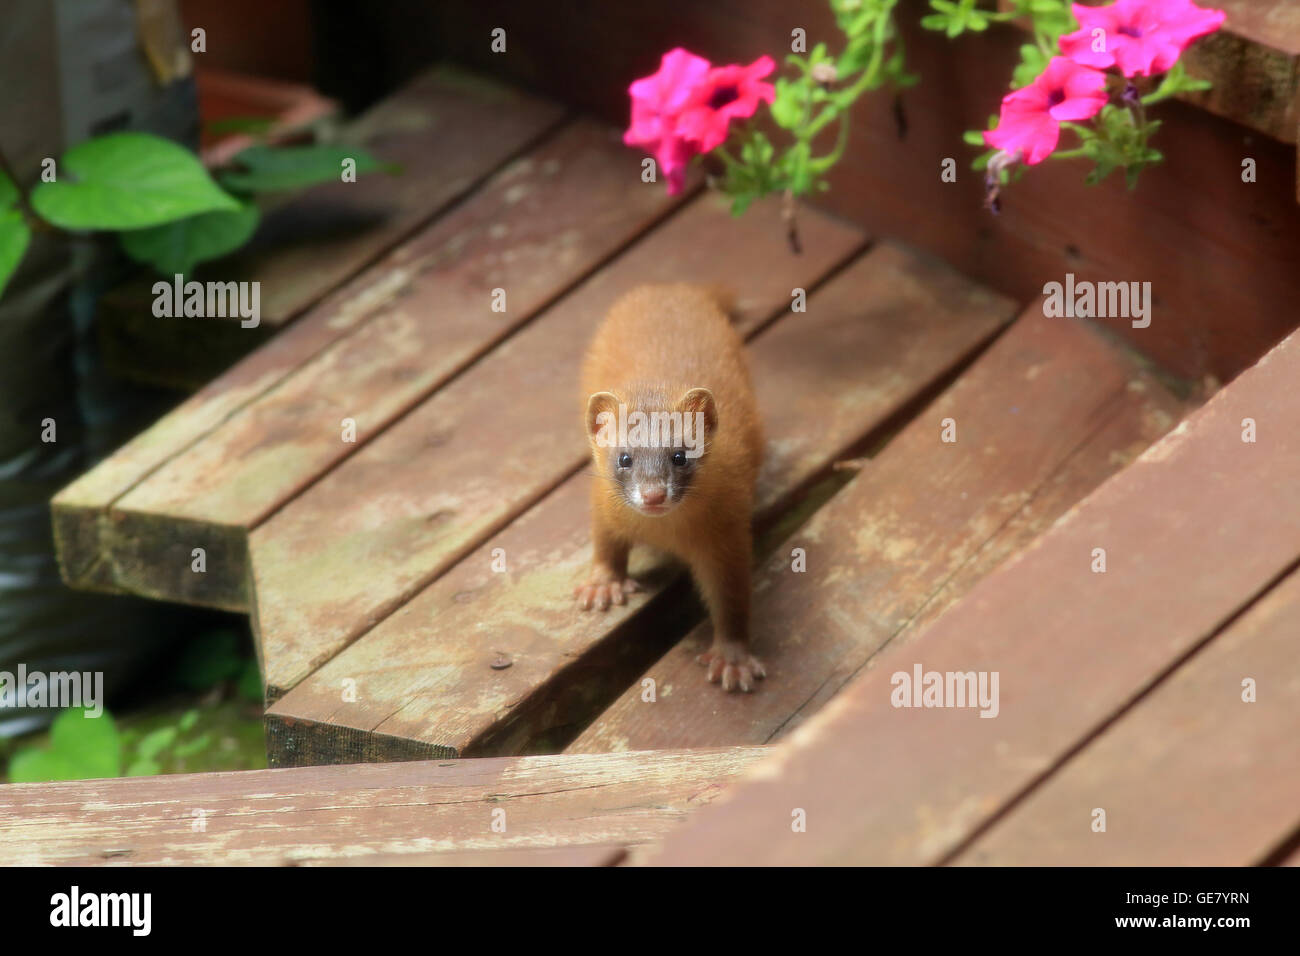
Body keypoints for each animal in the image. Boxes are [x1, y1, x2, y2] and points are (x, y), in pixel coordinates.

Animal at [574, 280, 764, 691]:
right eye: (624, 458)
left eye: (680, 454)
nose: (653, 494)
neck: (665, 533)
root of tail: (673, 287)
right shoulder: (602, 503)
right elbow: (605, 541)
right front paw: (603, 585)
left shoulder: (728, 533)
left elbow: (732, 597)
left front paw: (732, 660)